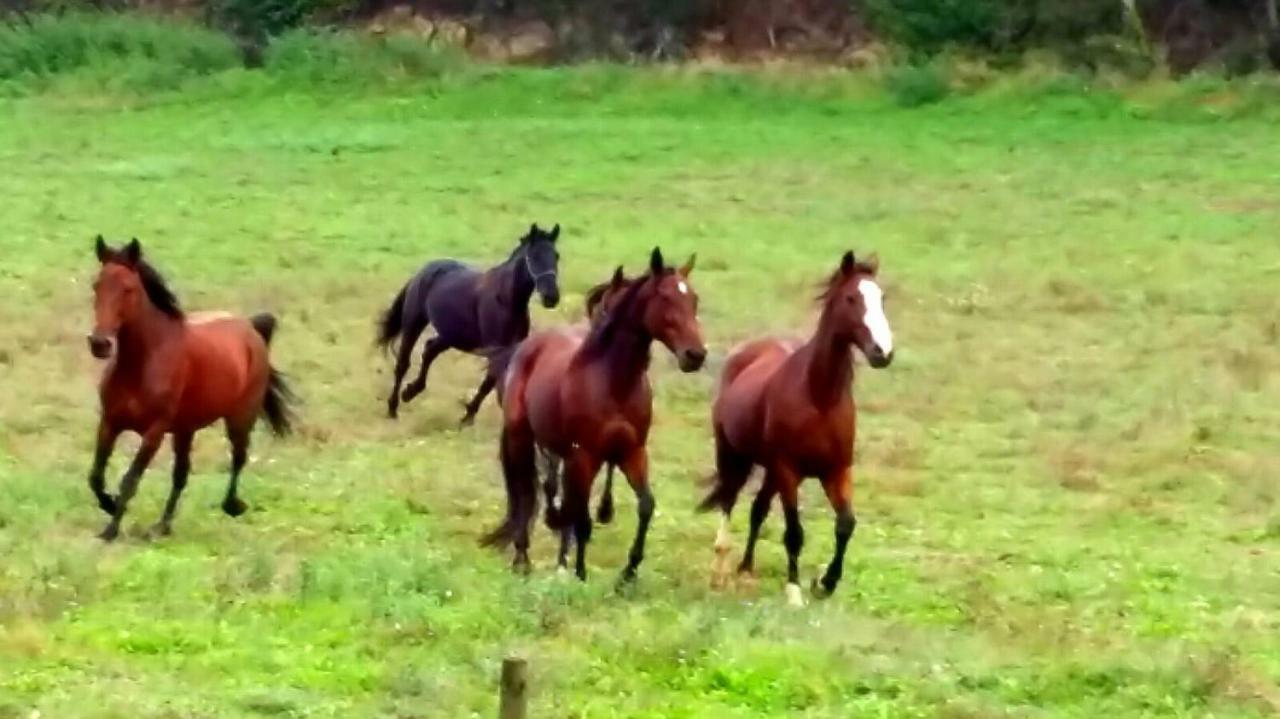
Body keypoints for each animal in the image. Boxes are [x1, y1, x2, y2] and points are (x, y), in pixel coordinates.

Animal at [83, 237, 295, 539]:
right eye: (96, 285)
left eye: (128, 288)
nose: (99, 343)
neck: (142, 364)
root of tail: (250, 328)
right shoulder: (110, 422)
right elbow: (96, 476)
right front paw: (110, 505)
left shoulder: (154, 432)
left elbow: (130, 479)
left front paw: (110, 529)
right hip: (186, 430)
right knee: (181, 474)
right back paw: (163, 525)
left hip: (239, 419)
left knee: (238, 458)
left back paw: (232, 506)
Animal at [376, 222, 563, 419]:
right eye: (533, 256)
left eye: (556, 256)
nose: (551, 297)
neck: (506, 300)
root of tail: (424, 270)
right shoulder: (495, 349)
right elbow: (490, 381)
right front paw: (467, 417)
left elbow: (493, 383)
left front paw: (469, 415)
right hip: (414, 323)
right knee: (403, 363)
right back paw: (393, 407)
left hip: (451, 334)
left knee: (429, 350)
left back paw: (410, 392)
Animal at [481, 248, 706, 583]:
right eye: (665, 298)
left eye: (693, 299)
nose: (695, 355)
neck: (614, 382)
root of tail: (526, 347)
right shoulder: (585, 456)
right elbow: (582, 517)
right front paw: (580, 572)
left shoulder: (632, 451)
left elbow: (646, 505)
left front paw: (629, 571)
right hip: (522, 438)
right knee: (524, 492)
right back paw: (522, 559)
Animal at [696, 252, 896, 603]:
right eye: (851, 298)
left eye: (881, 298)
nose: (882, 352)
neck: (818, 398)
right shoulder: (789, 472)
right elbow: (794, 533)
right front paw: (794, 592)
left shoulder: (836, 471)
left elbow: (846, 524)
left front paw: (826, 582)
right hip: (733, 455)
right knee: (729, 500)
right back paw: (720, 570)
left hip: (770, 470)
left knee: (757, 509)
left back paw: (745, 569)